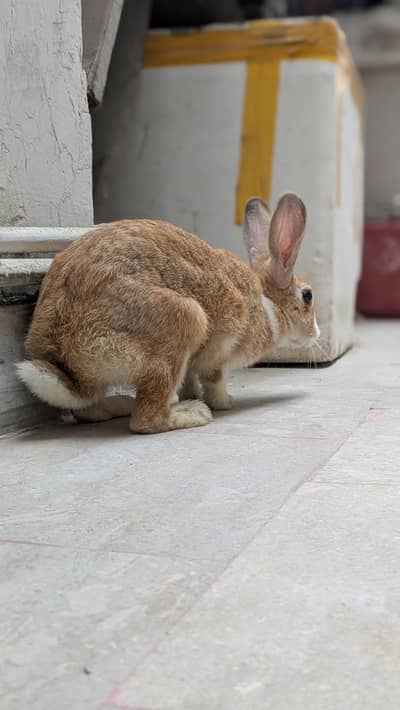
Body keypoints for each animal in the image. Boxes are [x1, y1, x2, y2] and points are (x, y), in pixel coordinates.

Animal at [17, 193, 320, 434]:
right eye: (307, 296)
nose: (316, 334)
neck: (268, 303)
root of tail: (60, 350)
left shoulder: (193, 363)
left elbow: (189, 381)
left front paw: (195, 396)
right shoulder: (218, 357)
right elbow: (214, 382)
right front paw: (224, 403)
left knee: (88, 408)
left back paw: (121, 405)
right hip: (182, 325)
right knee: (146, 420)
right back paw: (192, 414)